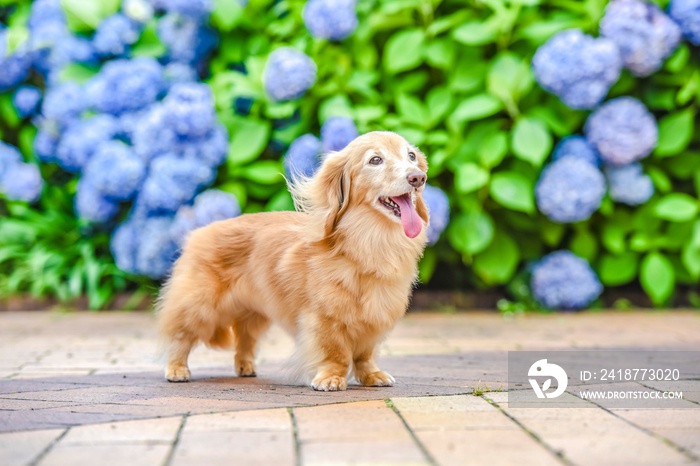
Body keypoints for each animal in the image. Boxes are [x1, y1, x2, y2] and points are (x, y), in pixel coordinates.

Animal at [157, 131, 430, 390]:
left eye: (411, 156)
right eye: (375, 160)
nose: (418, 178)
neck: (369, 244)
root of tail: (198, 233)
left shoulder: (376, 317)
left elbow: (365, 354)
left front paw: (372, 375)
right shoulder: (324, 318)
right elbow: (336, 353)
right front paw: (331, 378)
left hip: (252, 314)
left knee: (245, 339)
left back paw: (246, 367)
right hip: (199, 307)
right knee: (181, 337)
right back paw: (177, 369)